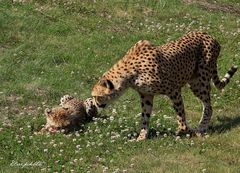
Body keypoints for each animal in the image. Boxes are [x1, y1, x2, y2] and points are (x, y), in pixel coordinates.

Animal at [91, 31, 237, 141]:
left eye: (97, 96)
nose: (95, 105)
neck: (129, 74)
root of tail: (209, 35)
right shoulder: (146, 95)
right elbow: (145, 117)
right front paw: (141, 137)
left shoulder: (174, 90)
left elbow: (181, 115)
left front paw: (186, 131)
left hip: (200, 82)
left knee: (208, 106)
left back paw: (201, 128)